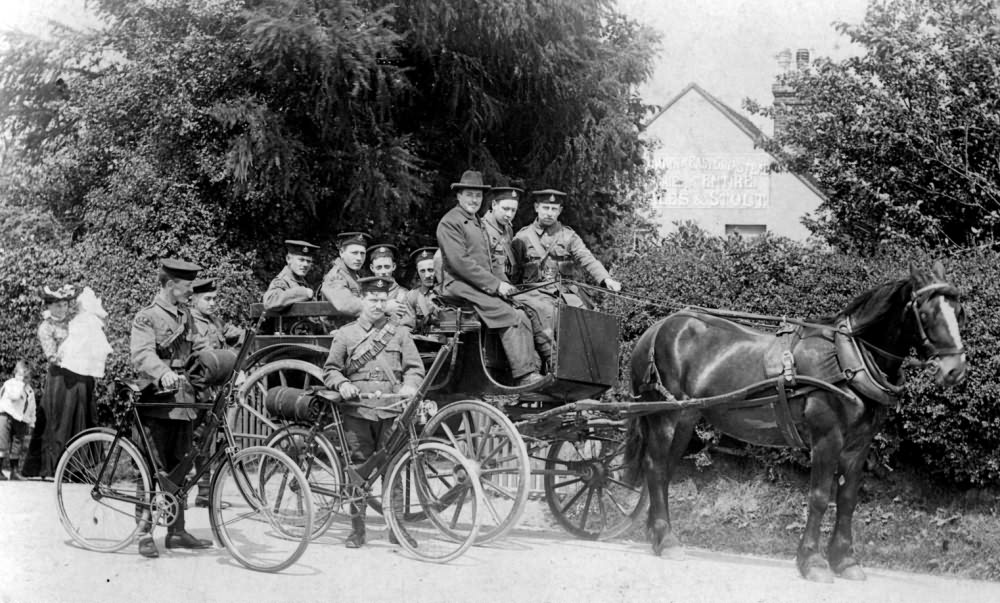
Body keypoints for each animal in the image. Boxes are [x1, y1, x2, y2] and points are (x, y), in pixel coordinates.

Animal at [624, 262, 968, 584]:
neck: (847, 362)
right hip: (664, 416)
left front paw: (845, 561)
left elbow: (847, 500)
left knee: (665, 472)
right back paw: (666, 540)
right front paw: (812, 562)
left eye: (959, 311)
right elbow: (819, 497)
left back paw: (656, 535)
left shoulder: (858, 445)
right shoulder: (827, 438)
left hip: (686, 418)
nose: (956, 370)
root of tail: (659, 327)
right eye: (927, 312)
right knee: (655, 468)